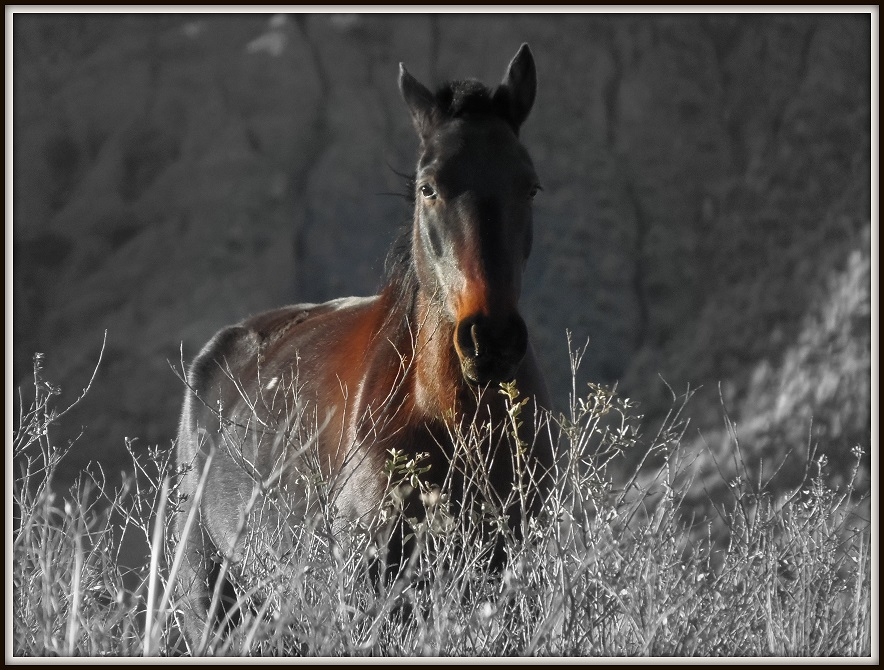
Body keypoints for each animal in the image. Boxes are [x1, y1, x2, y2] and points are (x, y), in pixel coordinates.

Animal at [174, 44, 552, 652]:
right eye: (428, 187)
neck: (451, 418)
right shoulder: (369, 599)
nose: (490, 339)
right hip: (209, 603)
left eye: (530, 186)